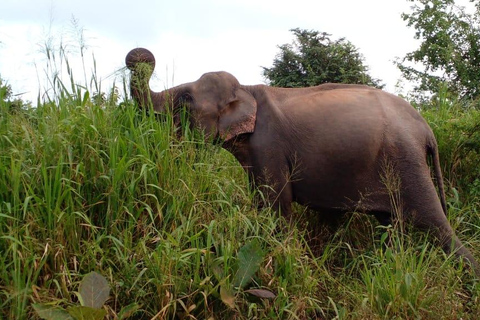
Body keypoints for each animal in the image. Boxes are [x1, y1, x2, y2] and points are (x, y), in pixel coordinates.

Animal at [125, 47, 478, 276]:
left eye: (185, 100)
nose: (138, 57)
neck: (248, 89)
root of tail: (427, 130)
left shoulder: (268, 145)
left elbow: (275, 207)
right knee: (391, 227)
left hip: (406, 162)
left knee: (435, 224)